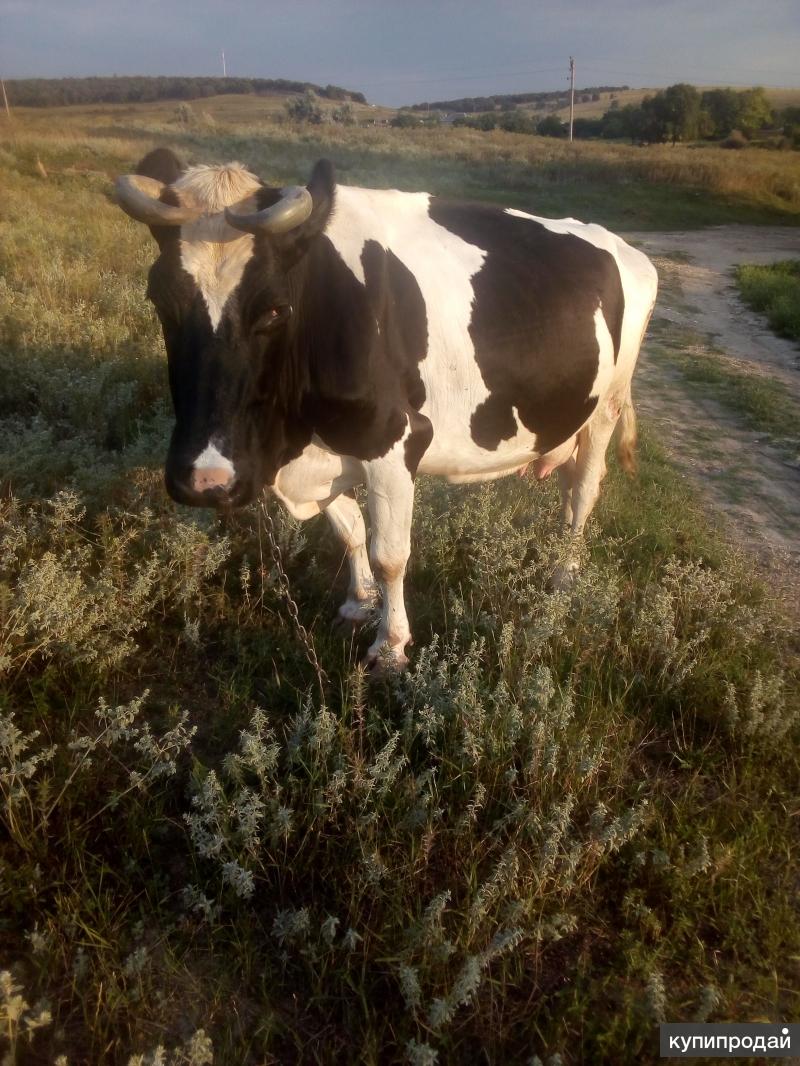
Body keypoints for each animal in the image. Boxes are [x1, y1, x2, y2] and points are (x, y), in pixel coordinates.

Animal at [117, 148, 657, 673]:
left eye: (272, 308)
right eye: (160, 299)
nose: (205, 480)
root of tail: (624, 247)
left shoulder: (394, 439)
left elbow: (389, 555)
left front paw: (391, 646)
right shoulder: (328, 447)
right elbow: (350, 531)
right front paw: (359, 604)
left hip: (607, 407)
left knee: (585, 491)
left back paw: (562, 577)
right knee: (569, 485)